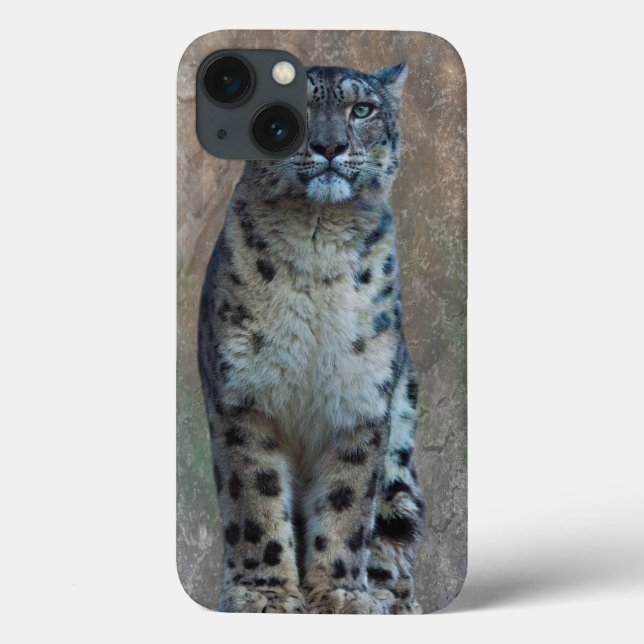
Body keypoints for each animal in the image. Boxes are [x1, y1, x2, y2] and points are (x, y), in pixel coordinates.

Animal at [198, 62, 425, 614]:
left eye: (361, 109)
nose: (329, 146)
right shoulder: (244, 397)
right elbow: (254, 496)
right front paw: (264, 595)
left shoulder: (363, 399)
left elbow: (348, 502)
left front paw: (340, 594)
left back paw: (391, 597)